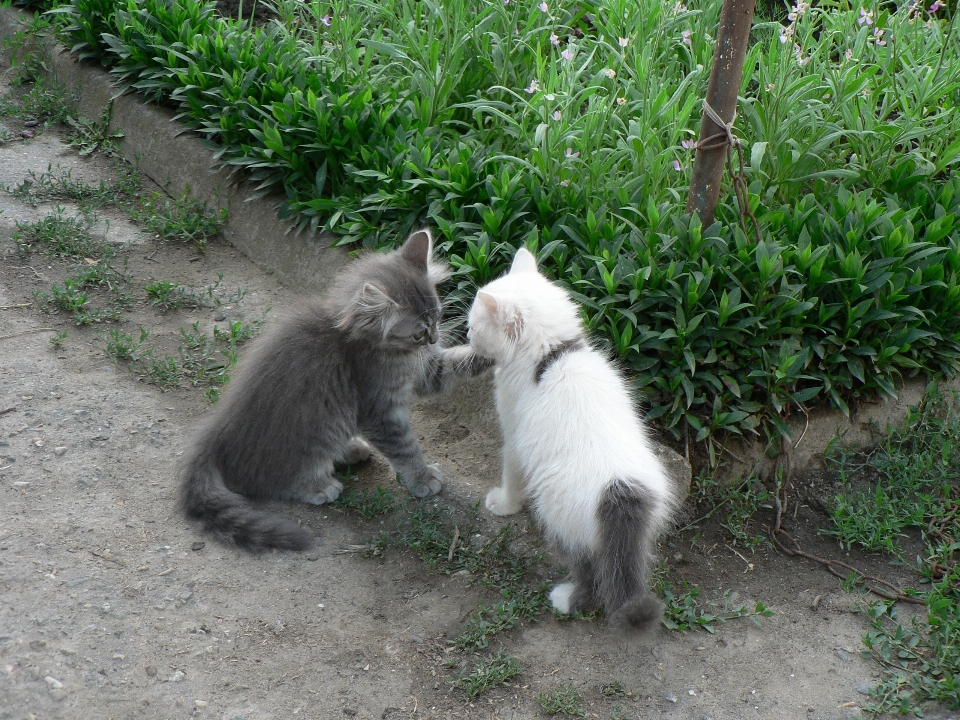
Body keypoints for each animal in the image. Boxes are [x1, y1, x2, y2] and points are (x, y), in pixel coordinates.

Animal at [182, 231, 488, 552]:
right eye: (418, 332)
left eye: (439, 317)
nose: (434, 339)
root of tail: (217, 435)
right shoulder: (379, 408)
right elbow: (404, 446)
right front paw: (421, 477)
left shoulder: (424, 371)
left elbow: (456, 363)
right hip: (323, 424)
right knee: (272, 479)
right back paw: (318, 485)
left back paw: (350, 451)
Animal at [468, 248, 680, 632]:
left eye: (474, 326)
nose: (466, 335)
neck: (552, 353)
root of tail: (620, 491)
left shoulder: (515, 433)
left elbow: (511, 471)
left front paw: (504, 503)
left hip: (559, 512)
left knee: (591, 571)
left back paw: (568, 600)